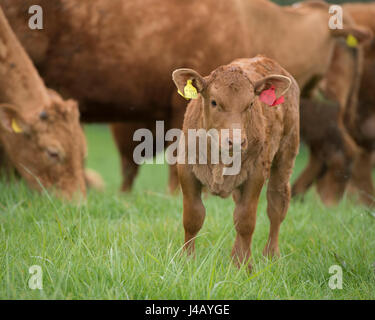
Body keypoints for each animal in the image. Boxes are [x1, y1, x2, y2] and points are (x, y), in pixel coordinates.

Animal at [173, 56, 300, 272]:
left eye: (250, 104)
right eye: (214, 102)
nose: (236, 141)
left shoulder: (256, 174)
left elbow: (245, 221)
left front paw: (244, 266)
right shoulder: (186, 170)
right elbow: (193, 218)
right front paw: (187, 261)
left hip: (286, 154)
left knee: (276, 206)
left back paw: (270, 255)